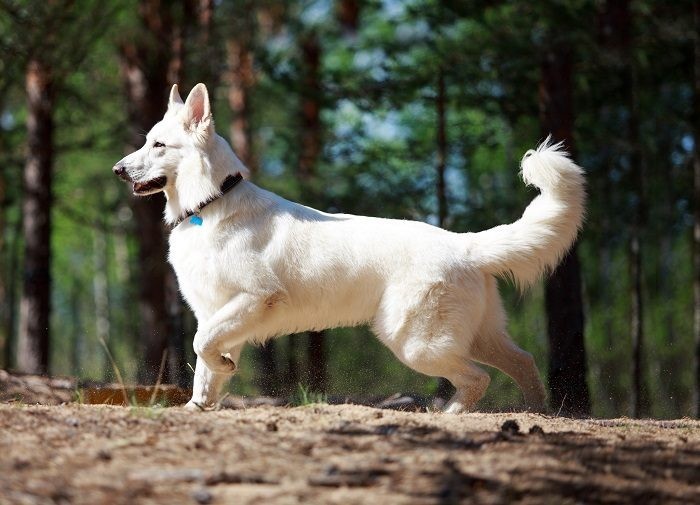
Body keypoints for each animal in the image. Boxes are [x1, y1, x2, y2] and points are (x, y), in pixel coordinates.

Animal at [115, 83, 584, 414]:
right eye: (147, 141)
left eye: (158, 145)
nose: (118, 170)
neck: (210, 203)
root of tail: (466, 244)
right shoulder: (216, 311)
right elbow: (205, 364)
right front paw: (199, 404)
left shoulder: (253, 299)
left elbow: (201, 345)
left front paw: (222, 373)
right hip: (475, 336)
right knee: (523, 363)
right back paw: (538, 413)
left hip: (415, 343)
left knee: (478, 379)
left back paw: (451, 414)